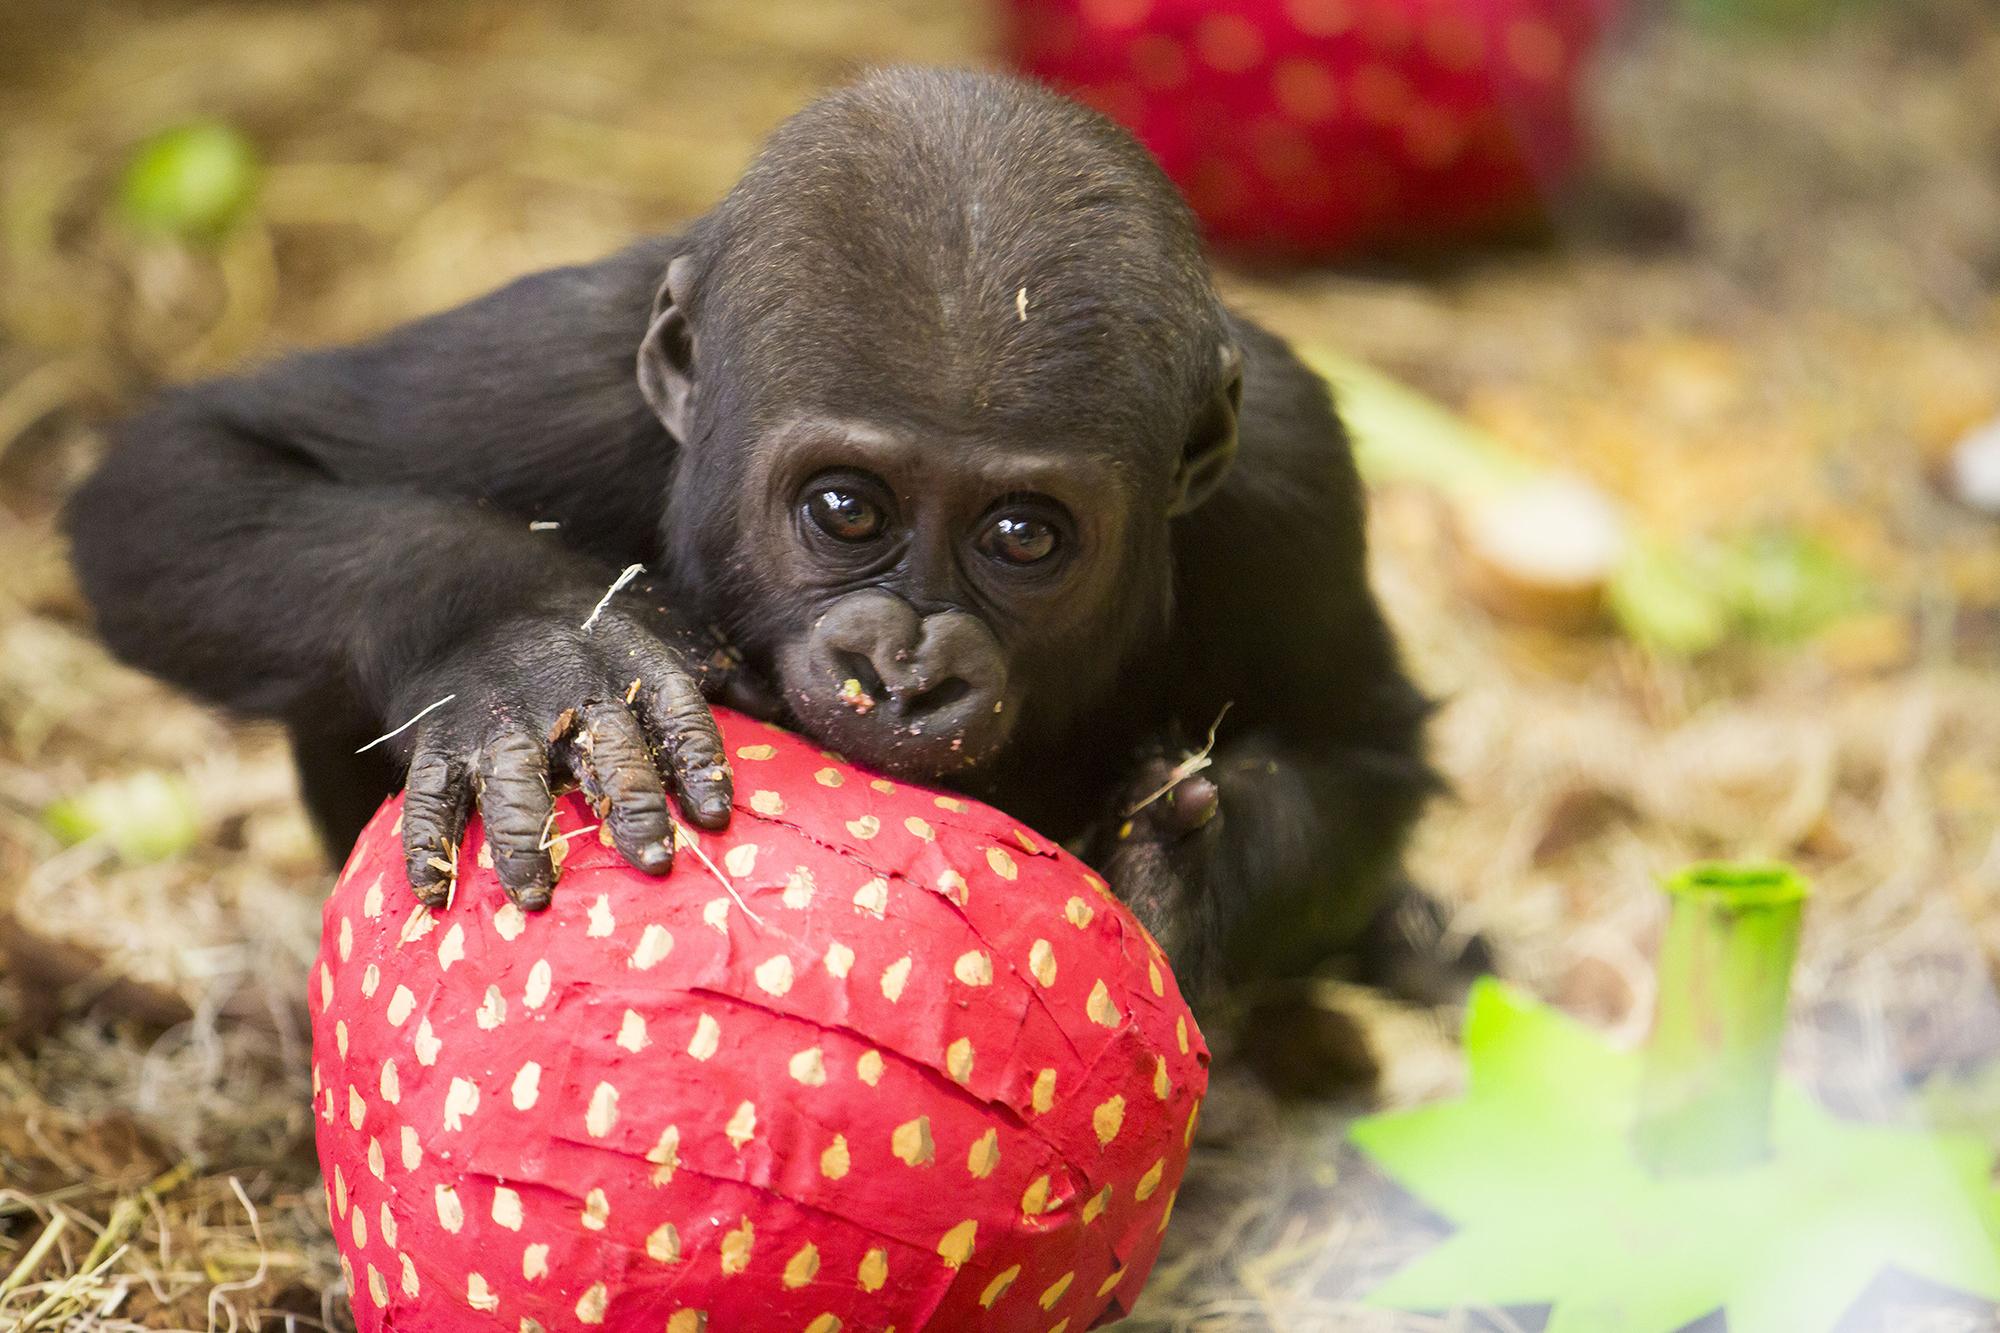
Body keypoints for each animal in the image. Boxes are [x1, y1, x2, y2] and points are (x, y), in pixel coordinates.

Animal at [66, 67, 1472, 1000]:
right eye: (844, 510)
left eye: (1024, 537)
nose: (903, 671)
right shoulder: (566, 372)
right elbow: (186, 474)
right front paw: (532, 653)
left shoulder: (1288, 476)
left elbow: (1363, 743)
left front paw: (1185, 871)